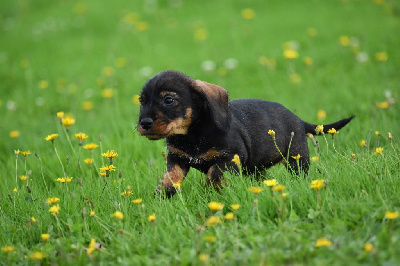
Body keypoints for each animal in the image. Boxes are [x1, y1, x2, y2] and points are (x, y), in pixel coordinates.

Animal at [137, 69, 354, 196]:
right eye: (142, 101)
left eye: (168, 100)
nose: (144, 123)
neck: (193, 136)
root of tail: (300, 121)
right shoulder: (177, 158)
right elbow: (171, 177)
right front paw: (164, 193)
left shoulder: (230, 157)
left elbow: (214, 174)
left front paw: (214, 193)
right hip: (256, 168)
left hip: (296, 159)